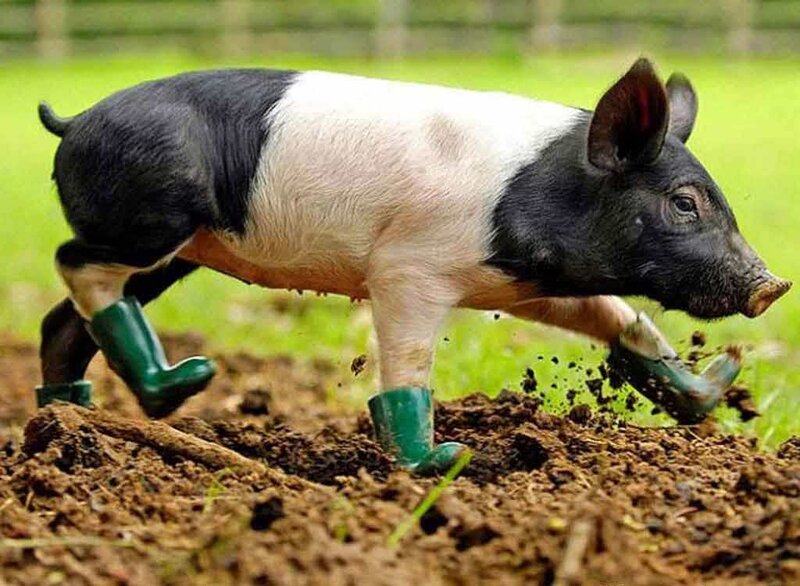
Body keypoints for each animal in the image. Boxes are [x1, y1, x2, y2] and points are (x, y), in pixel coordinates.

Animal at [36, 58, 789, 474]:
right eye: (684, 203)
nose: (773, 286)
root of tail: (74, 120)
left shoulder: (525, 284)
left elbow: (619, 317)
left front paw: (718, 384)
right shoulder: (409, 270)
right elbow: (407, 372)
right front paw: (445, 462)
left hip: (179, 249)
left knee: (62, 320)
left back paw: (79, 417)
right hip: (150, 218)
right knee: (74, 263)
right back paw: (183, 383)